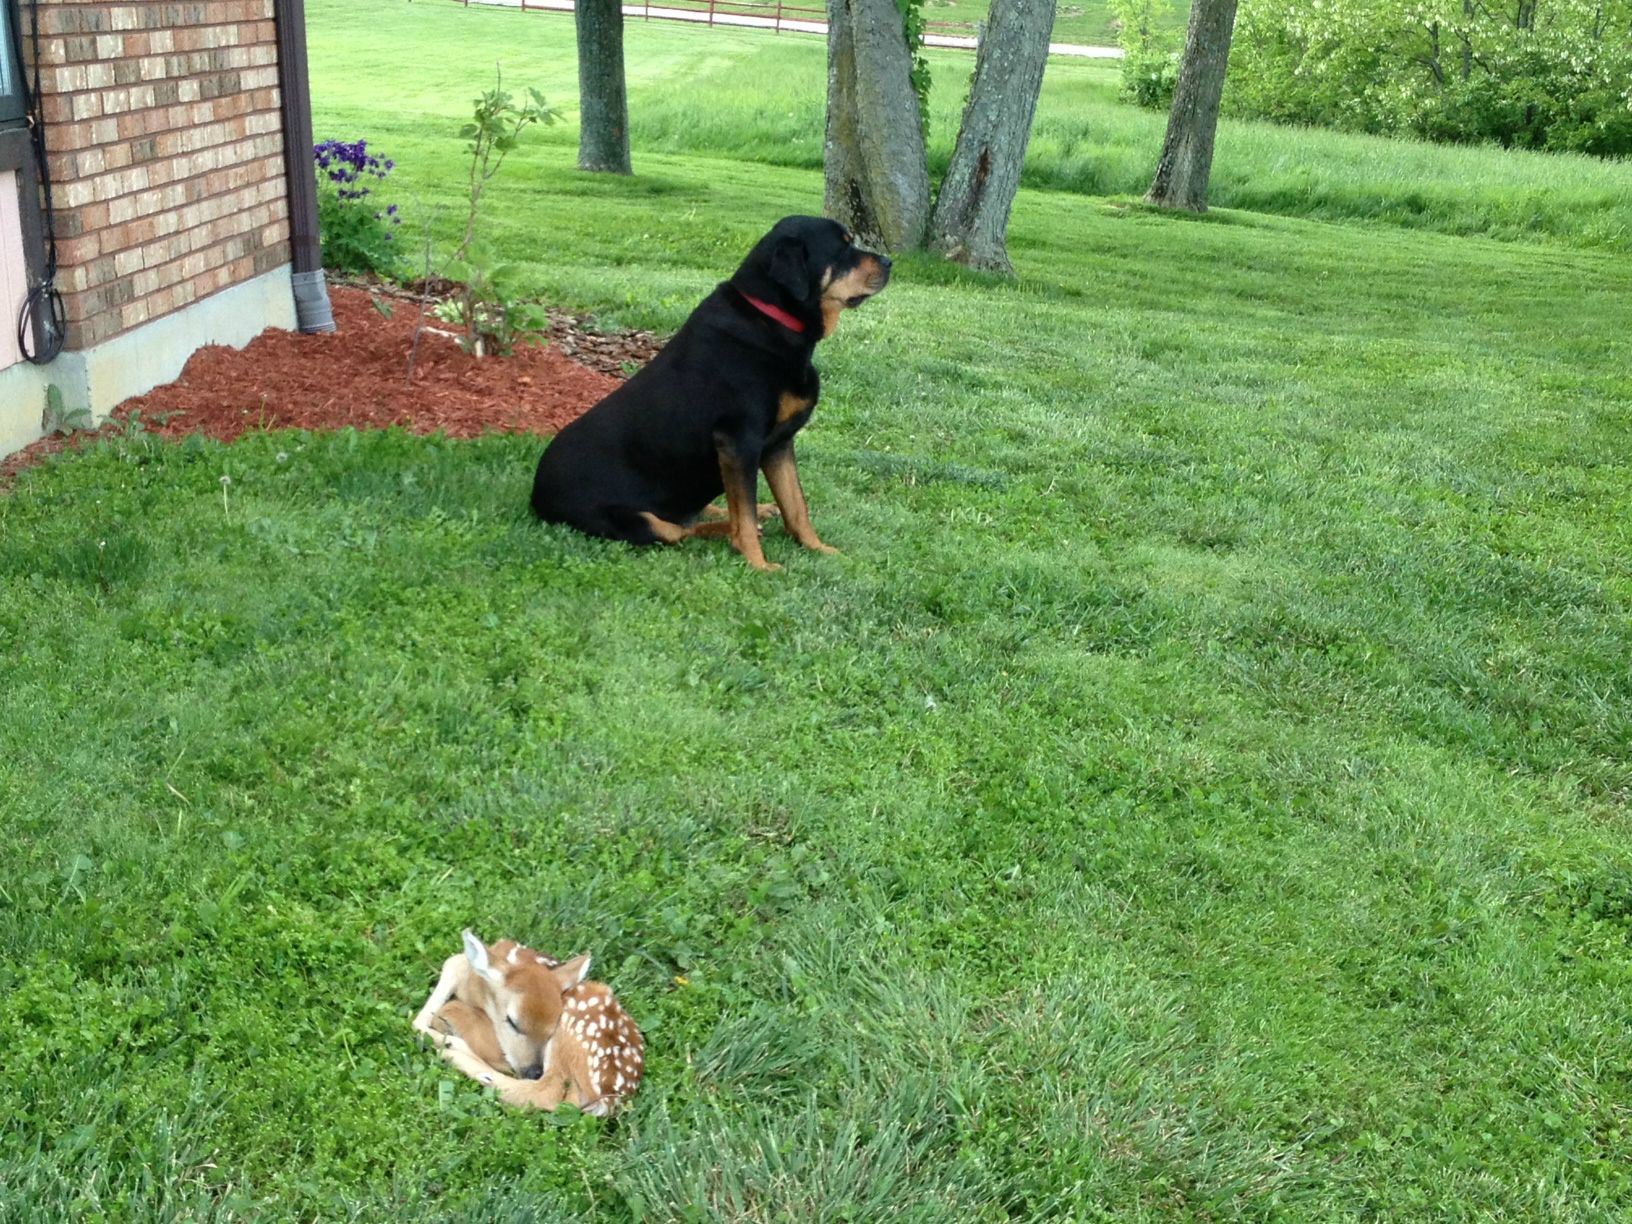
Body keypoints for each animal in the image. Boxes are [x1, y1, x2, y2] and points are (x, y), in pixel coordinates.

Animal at [412, 930, 643, 1116]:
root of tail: (611, 1095)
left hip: (571, 1032)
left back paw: (452, 1053)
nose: (533, 1071)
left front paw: (443, 1035)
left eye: (550, 1029)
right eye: (512, 1022)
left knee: (544, 1092)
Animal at [530, 215, 891, 571]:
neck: (770, 318)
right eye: (842, 248)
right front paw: (758, 564)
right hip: (638, 521)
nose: (889, 262)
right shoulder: (738, 441)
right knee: (682, 529)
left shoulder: (778, 443)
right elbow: (744, 518)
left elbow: (796, 505)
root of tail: (536, 495)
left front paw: (819, 548)